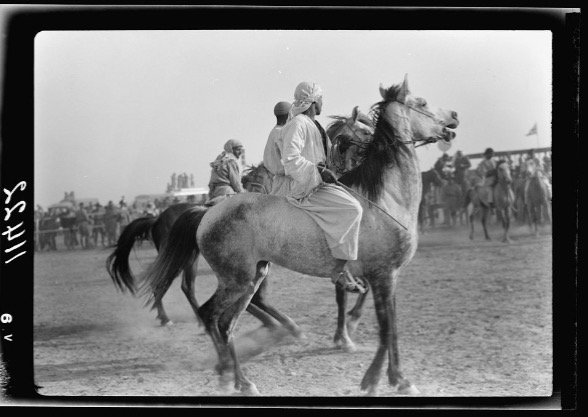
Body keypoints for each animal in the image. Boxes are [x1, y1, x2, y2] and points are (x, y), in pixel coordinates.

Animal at [139, 75, 460, 396]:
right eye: (422, 103)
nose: (454, 118)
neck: (384, 196)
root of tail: (206, 213)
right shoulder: (383, 274)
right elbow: (386, 326)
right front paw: (382, 376)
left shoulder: (386, 276)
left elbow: (388, 323)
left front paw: (390, 376)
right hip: (236, 280)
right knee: (211, 315)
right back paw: (233, 373)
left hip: (252, 277)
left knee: (226, 322)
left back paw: (240, 375)